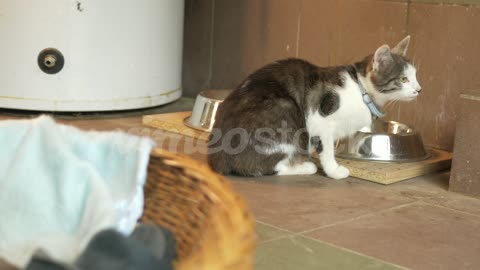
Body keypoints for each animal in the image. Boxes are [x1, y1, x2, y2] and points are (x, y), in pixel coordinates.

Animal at [206, 35, 420, 179]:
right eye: (403, 79)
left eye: (416, 76)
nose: (419, 89)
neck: (362, 91)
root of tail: (217, 156)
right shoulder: (321, 118)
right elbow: (327, 148)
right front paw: (334, 170)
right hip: (285, 113)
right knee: (262, 167)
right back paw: (305, 166)